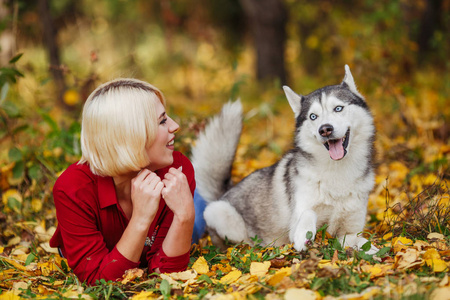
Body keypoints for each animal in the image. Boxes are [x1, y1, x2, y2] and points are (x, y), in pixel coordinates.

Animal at [192, 65, 378, 253]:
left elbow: (362, 243)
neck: (336, 171)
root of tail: (222, 194)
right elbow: (308, 213)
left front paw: (373, 251)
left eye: (338, 108)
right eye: (313, 116)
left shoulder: (348, 233)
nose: (325, 129)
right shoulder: (298, 218)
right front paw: (304, 234)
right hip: (219, 213)